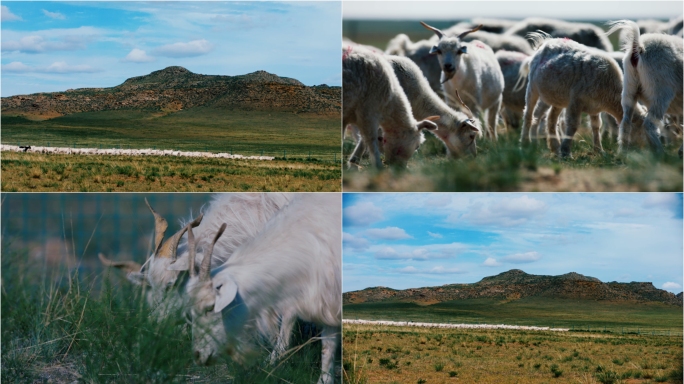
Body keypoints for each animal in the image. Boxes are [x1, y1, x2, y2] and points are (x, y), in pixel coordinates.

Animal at [608, 19, 680, 152]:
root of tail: (639, 47)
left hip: (629, 88)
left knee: (625, 123)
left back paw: (623, 151)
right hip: (660, 93)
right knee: (649, 125)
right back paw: (660, 152)